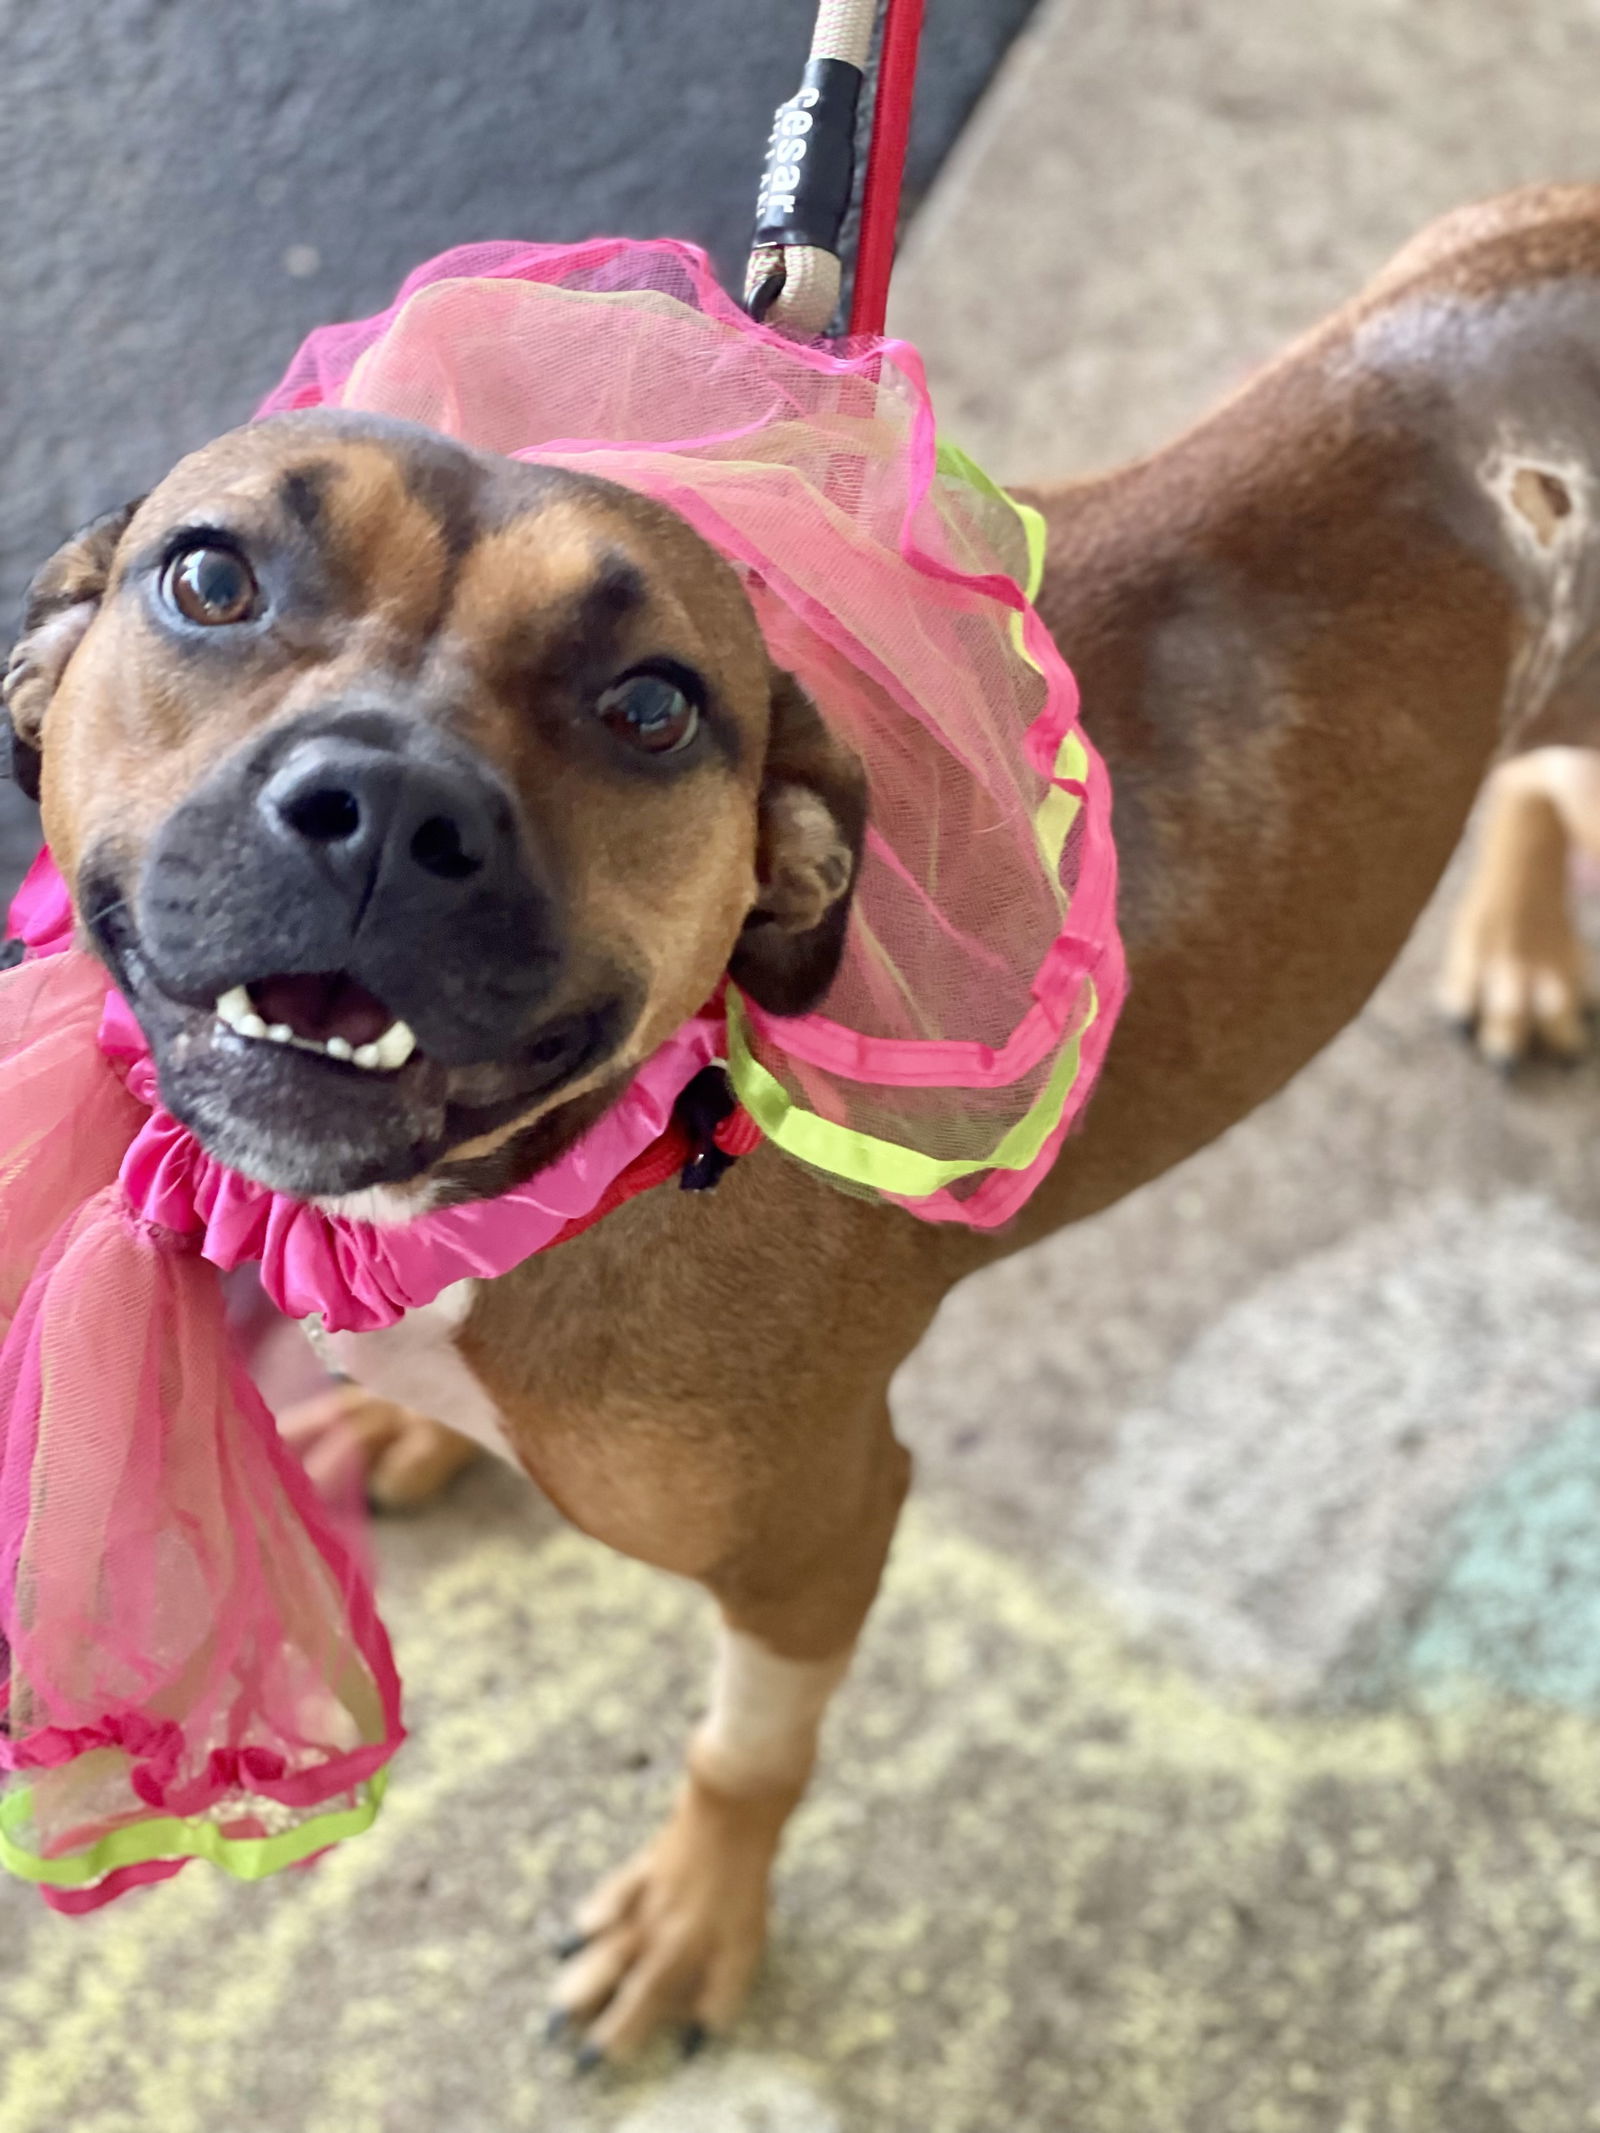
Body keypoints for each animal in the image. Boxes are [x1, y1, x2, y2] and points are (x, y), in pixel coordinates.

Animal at [12, 187, 1600, 2064]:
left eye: (651, 705)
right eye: (212, 577)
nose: (386, 807)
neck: (573, 1165)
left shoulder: (820, 1531)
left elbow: (745, 1752)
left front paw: (698, 1917)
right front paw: (405, 1420)